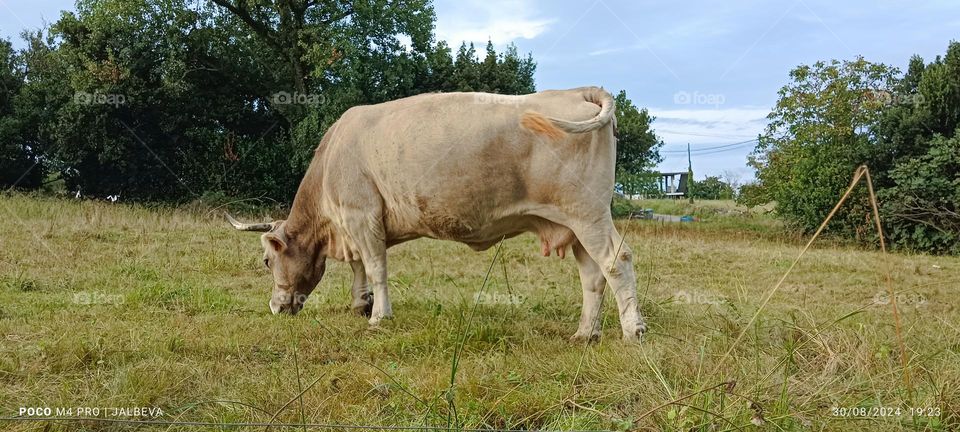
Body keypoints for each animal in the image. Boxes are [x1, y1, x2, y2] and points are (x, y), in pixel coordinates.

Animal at [227, 86, 647, 341]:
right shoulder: (356, 224)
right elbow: (360, 269)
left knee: (617, 260)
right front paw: (361, 305)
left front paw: (379, 316)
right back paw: (585, 334)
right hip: (571, 223)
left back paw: (633, 331)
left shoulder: (362, 215)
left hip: (588, 213)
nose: (274, 307)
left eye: (266, 261)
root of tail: (577, 90)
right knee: (592, 275)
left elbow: (375, 267)